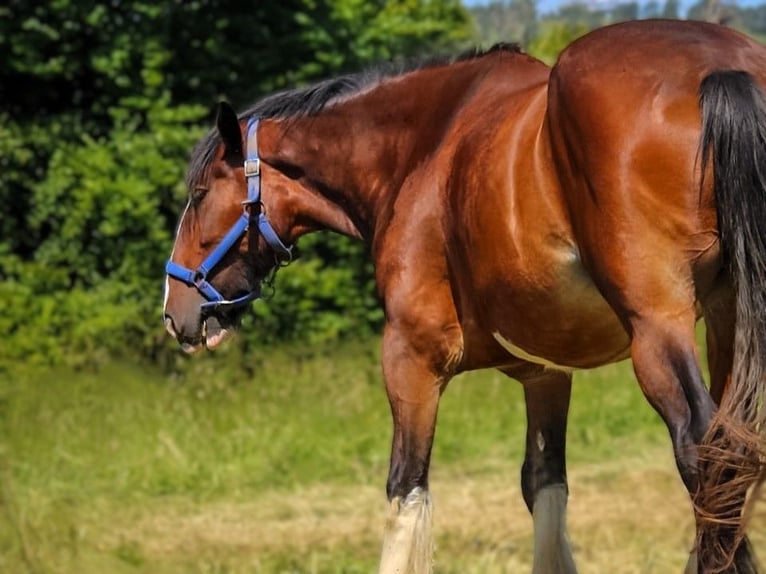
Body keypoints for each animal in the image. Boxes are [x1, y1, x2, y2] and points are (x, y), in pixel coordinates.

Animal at [162, 19, 766, 573]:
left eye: (199, 193)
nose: (175, 311)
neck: (423, 149)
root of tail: (718, 68)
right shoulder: (547, 375)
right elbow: (545, 486)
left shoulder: (410, 358)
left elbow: (406, 492)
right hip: (729, 326)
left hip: (659, 331)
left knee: (709, 455)